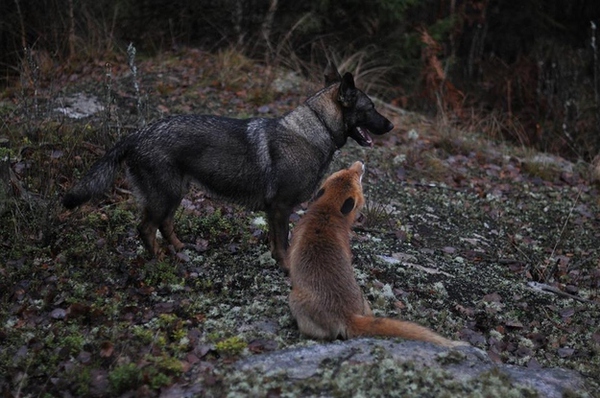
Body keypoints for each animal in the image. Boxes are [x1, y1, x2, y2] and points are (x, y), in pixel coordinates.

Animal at [64, 63, 394, 268]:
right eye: (370, 108)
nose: (391, 126)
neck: (315, 129)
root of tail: (136, 134)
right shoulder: (280, 206)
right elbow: (283, 243)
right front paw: (286, 268)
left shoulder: (275, 210)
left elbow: (275, 242)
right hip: (164, 195)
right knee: (146, 228)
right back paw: (159, 259)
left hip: (175, 193)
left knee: (165, 224)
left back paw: (181, 249)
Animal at [288, 162, 468, 348]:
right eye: (346, 171)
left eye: (356, 176)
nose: (360, 163)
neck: (327, 211)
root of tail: (349, 315)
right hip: (363, 300)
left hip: (293, 299)